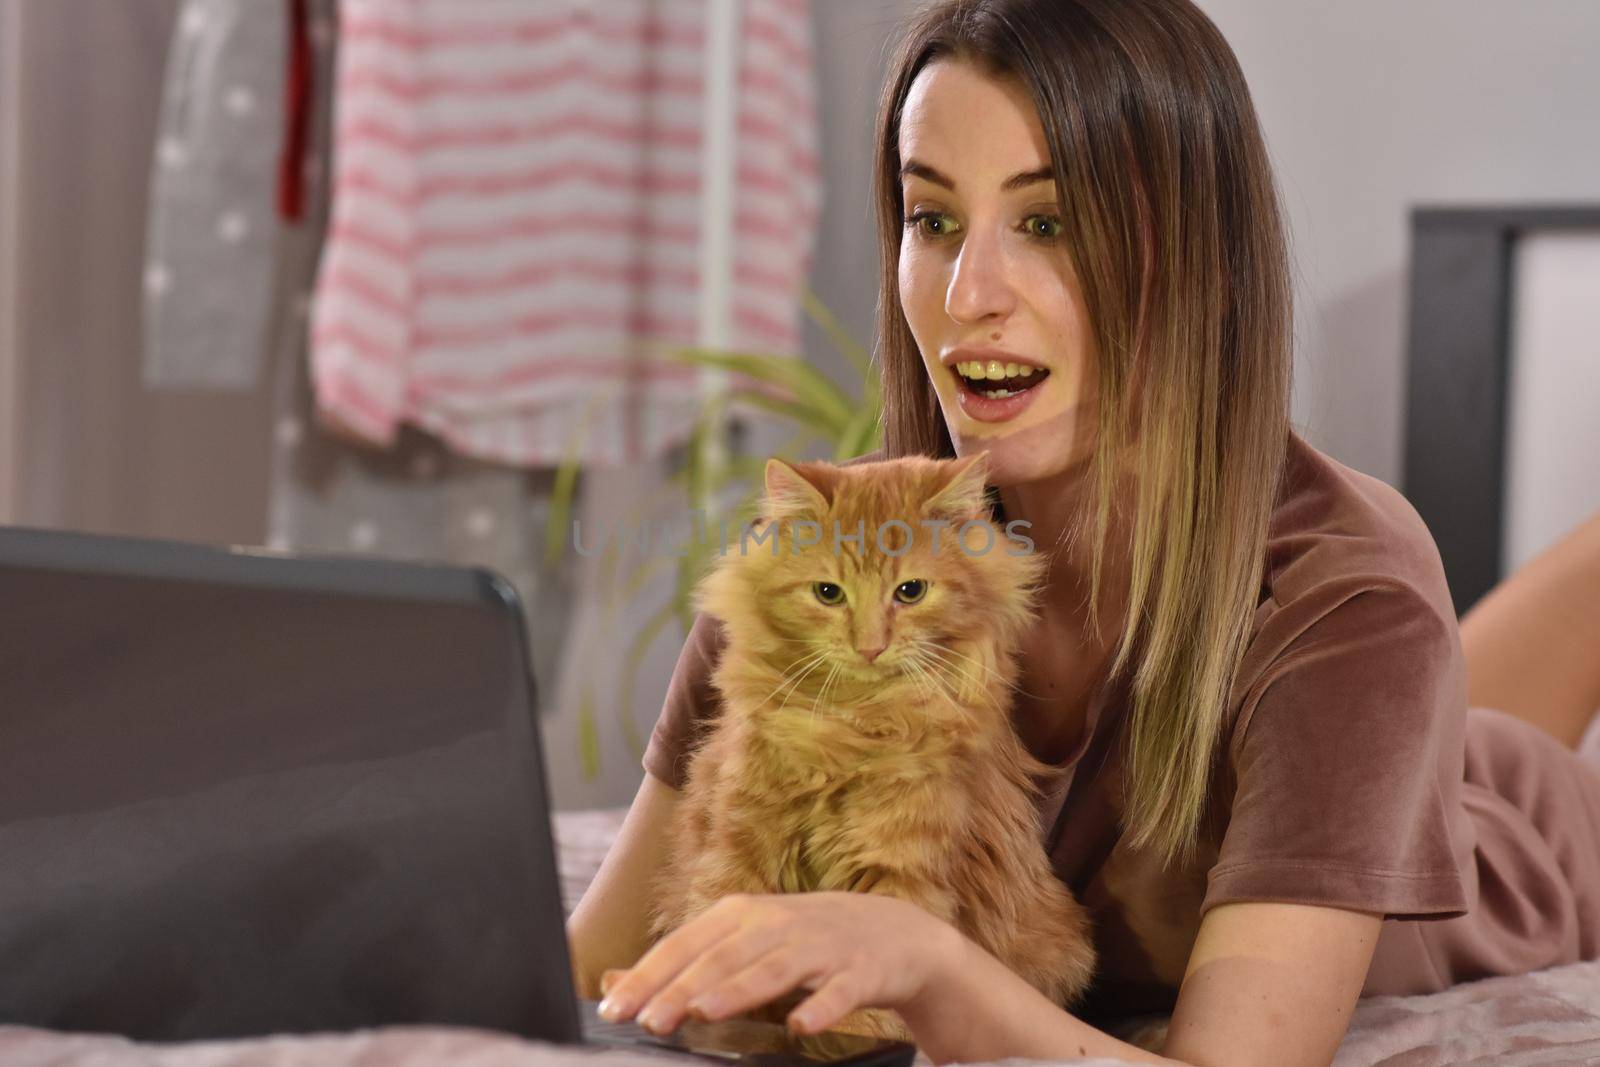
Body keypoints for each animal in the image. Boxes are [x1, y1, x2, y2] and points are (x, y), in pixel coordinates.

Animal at [643, 454, 1094, 1036]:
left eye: (911, 591)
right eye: (828, 593)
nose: (871, 647)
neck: (850, 730)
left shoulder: (896, 876)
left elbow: (864, 1010)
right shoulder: (739, 848)